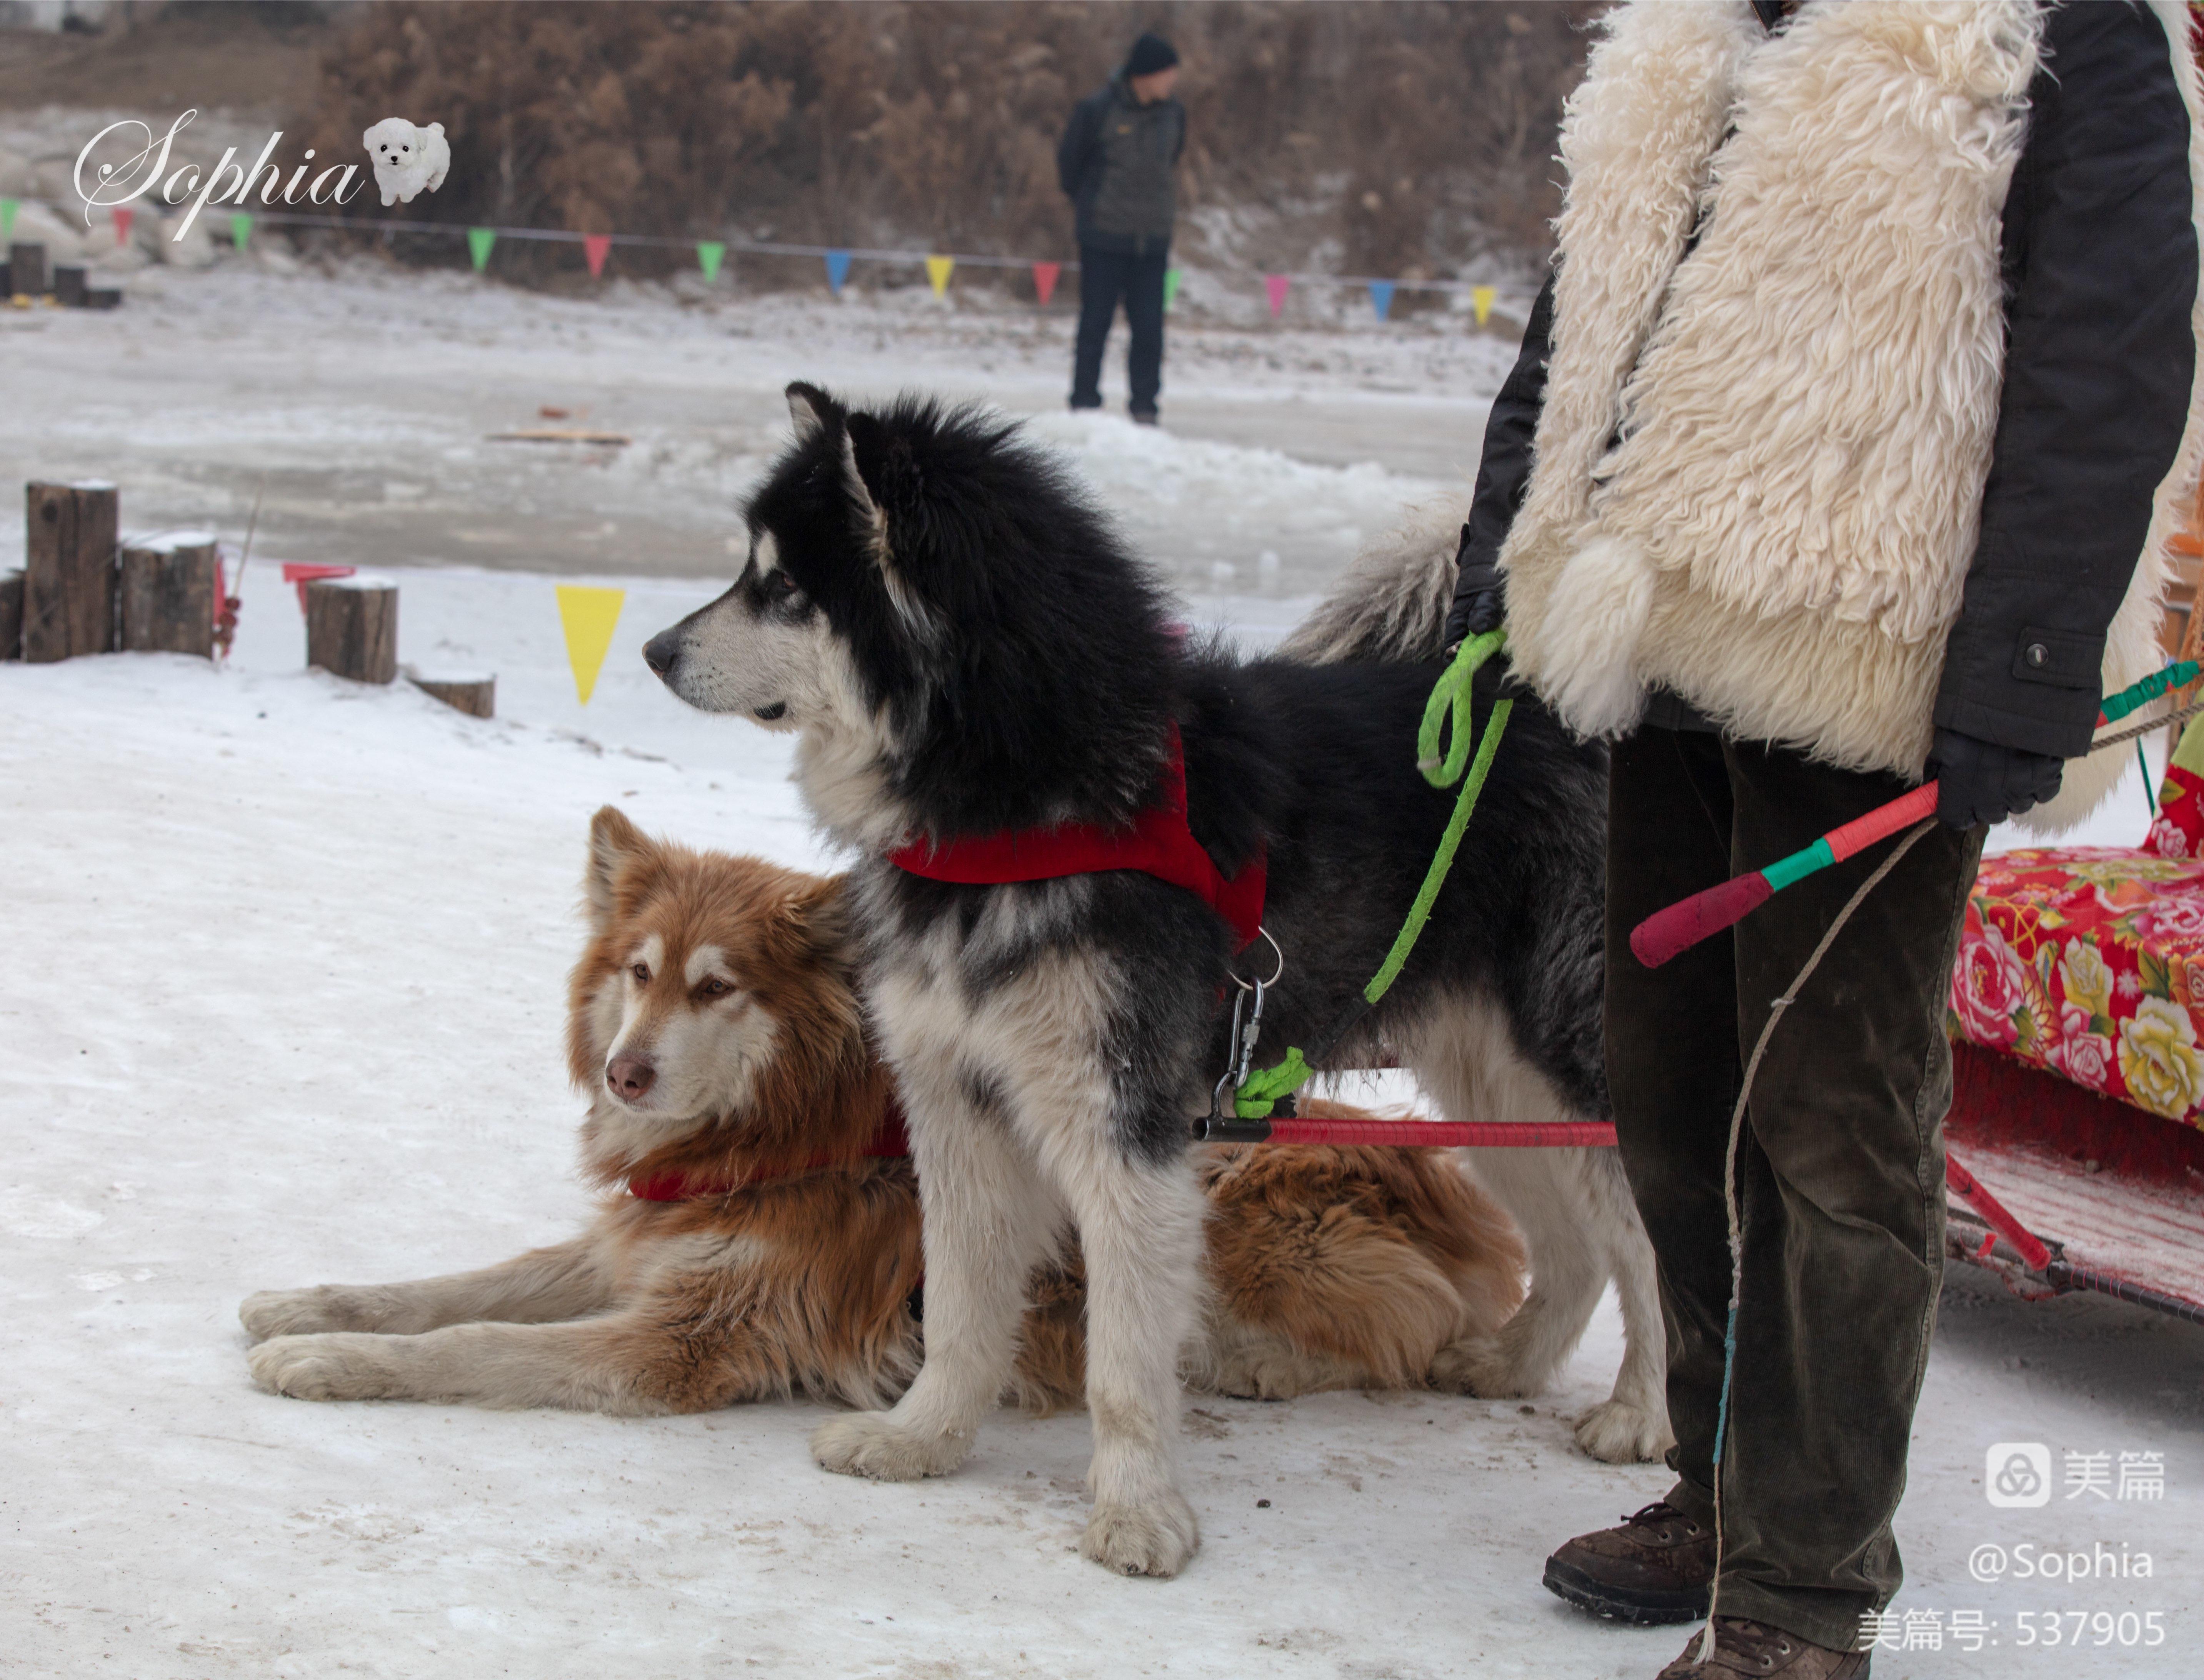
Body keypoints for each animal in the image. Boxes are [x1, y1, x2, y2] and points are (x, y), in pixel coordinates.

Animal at [644, 386, 1657, 1578]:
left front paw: (1136, 1512)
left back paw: (1645, 1413)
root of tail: (1540, 704)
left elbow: (1123, 1362)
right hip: (1493, 1081)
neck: (1028, 806)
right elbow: (961, 1309)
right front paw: (924, 1440)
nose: (654, 650)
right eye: (751, 570)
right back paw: (1510, 1363)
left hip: (1571, 1066)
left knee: (1651, 1244)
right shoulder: (957, 1104)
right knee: (1573, 1244)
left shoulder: (1123, 1127)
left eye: (784, 588)